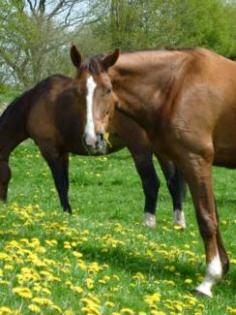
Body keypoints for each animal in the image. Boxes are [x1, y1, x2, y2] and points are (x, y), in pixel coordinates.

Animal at [0, 73, 186, 227]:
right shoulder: (63, 153)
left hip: (140, 149)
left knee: (151, 183)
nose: (3, 205)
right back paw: (178, 223)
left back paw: (148, 223)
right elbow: (65, 184)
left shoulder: (50, 151)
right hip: (161, 152)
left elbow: (60, 184)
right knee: (173, 183)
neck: (33, 104)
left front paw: (66, 213)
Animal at [71, 45, 236, 298]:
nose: (92, 140)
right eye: (77, 91)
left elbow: (206, 219)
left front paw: (209, 280)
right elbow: (213, 216)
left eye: (108, 89)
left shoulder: (196, 160)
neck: (178, 85)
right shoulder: (188, 163)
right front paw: (223, 268)